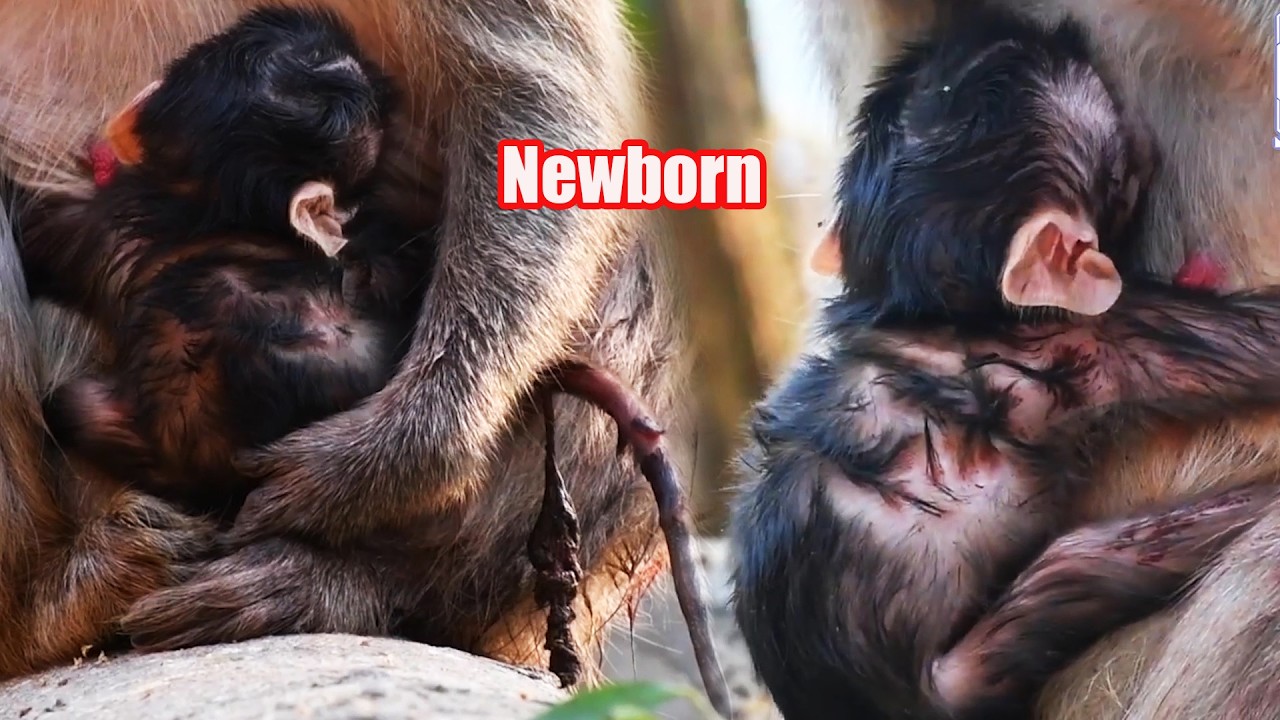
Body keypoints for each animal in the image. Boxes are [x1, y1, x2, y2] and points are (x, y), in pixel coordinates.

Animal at [730, 9, 1280, 719]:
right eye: (1120, 172)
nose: (1146, 144)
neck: (931, 306)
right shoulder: (1095, 338)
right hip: (972, 669)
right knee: (1087, 569)